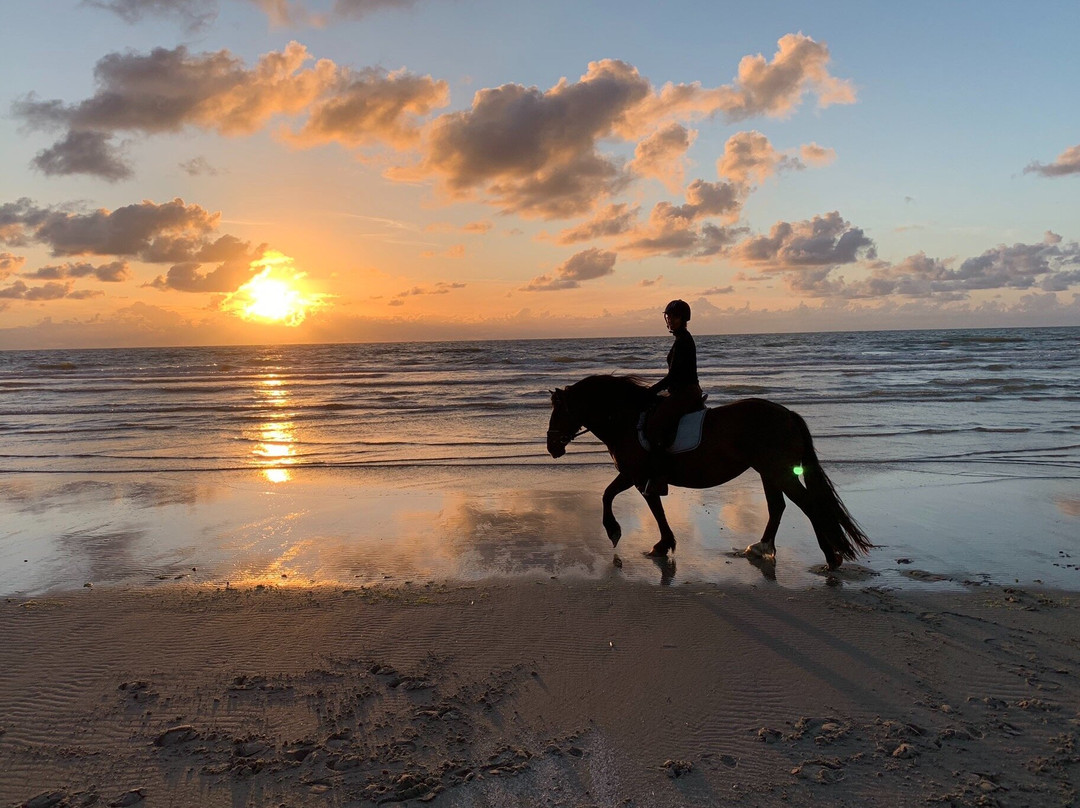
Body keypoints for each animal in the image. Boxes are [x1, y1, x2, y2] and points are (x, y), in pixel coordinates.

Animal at [544, 375, 872, 570]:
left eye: (559, 412)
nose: (551, 446)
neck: (626, 420)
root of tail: (788, 415)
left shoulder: (637, 475)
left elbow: (618, 498)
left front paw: (620, 533)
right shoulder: (638, 477)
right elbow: (635, 502)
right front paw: (660, 543)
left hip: (778, 470)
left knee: (807, 505)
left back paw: (830, 559)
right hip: (769, 471)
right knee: (777, 506)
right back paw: (761, 548)